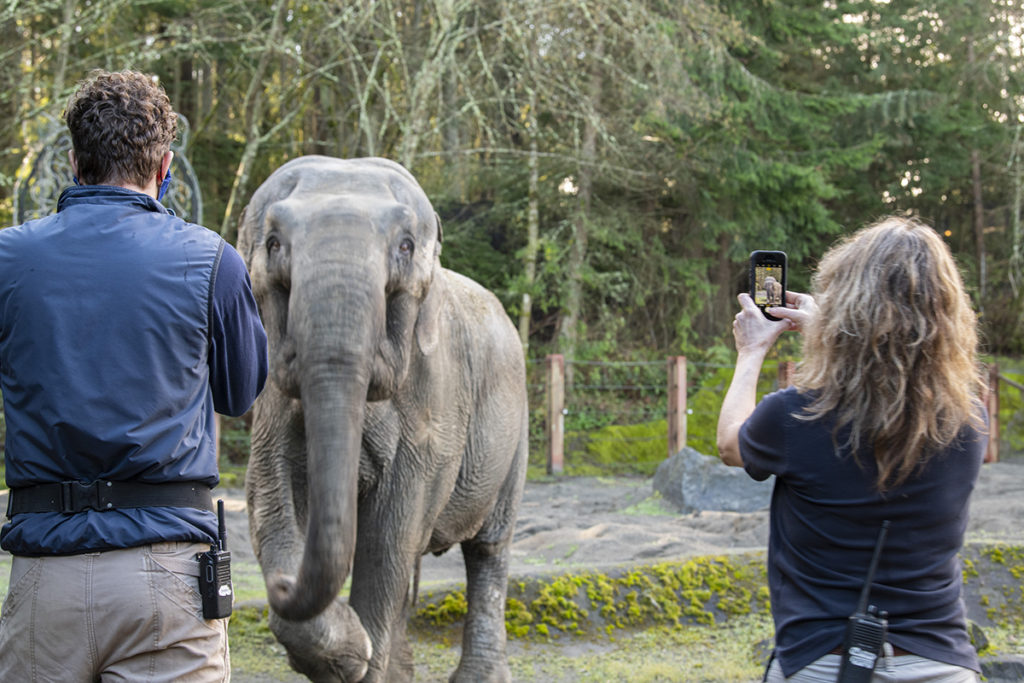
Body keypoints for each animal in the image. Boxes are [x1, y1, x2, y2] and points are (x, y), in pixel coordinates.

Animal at [237, 156, 528, 683]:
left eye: (406, 246)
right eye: (272, 244)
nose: (281, 585)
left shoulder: (434, 400)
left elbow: (391, 530)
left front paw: (360, 660)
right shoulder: (271, 398)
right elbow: (270, 488)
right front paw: (351, 653)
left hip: (516, 430)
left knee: (489, 548)